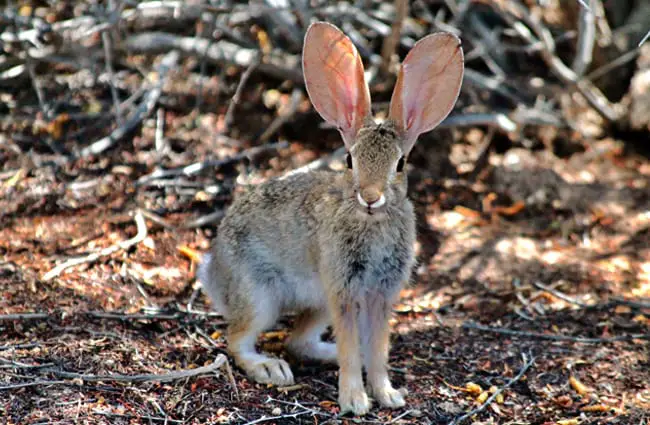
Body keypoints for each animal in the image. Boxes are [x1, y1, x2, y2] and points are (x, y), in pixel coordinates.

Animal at [197, 20, 460, 414]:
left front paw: (387, 394)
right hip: (260, 294)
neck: (371, 222)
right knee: (238, 340)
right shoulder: (344, 290)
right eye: (350, 160)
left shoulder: (380, 294)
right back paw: (270, 368)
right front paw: (355, 400)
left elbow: (378, 349)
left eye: (400, 164)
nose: (371, 197)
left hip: (316, 303)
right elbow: (352, 346)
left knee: (298, 341)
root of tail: (213, 273)